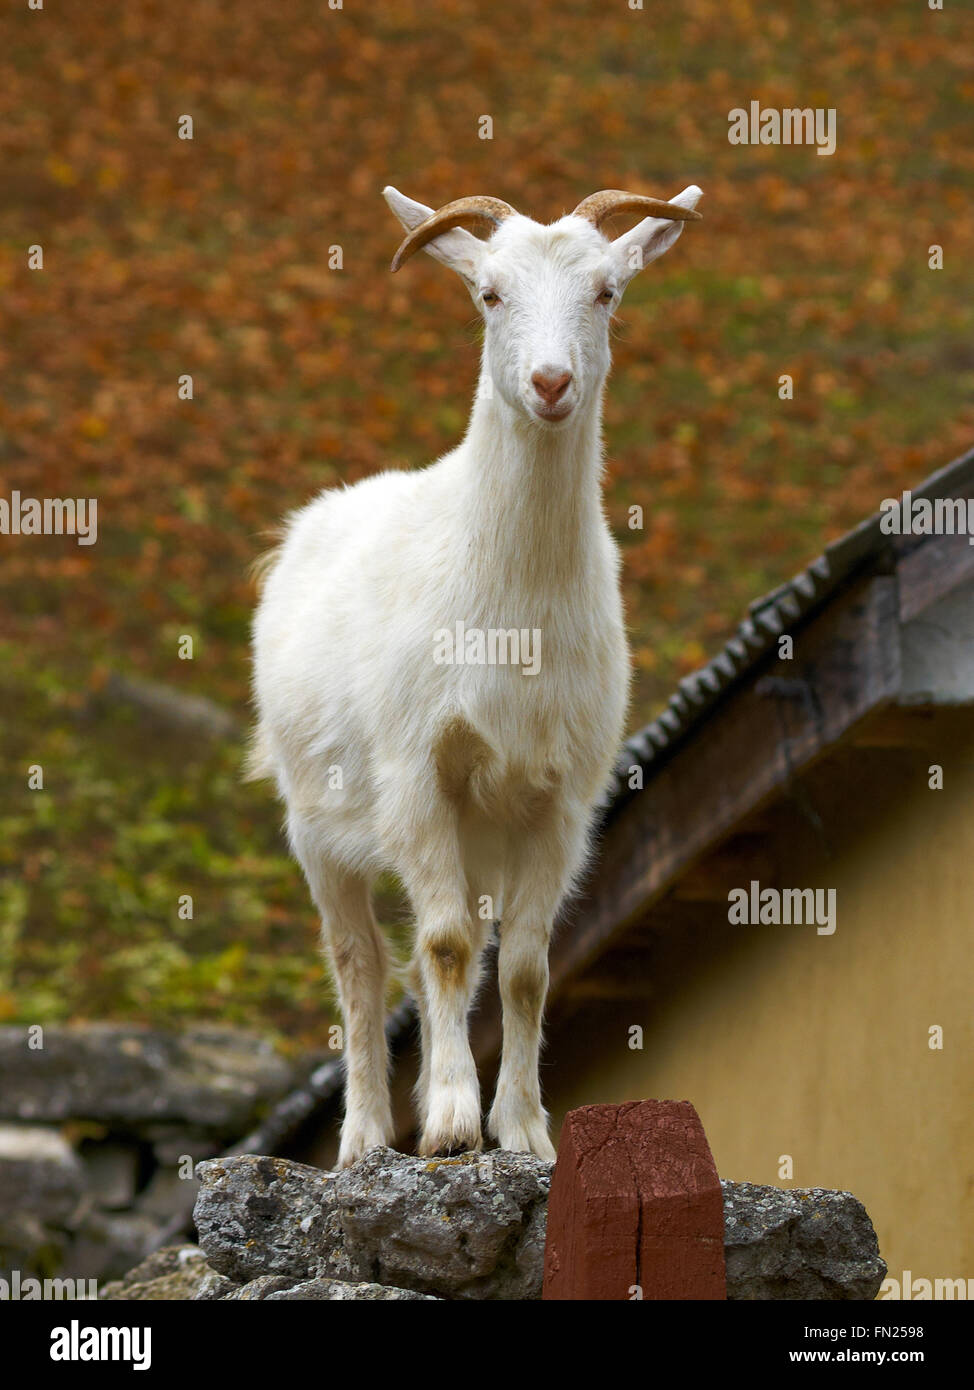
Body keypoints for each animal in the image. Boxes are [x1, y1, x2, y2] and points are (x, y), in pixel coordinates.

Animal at [247, 184, 703, 1162]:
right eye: (490, 294)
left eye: (608, 290)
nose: (551, 383)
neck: (511, 616)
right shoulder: (418, 772)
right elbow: (449, 946)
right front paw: (454, 1127)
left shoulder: (562, 797)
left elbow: (525, 966)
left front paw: (524, 1129)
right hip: (318, 824)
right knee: (364, 964)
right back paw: (366, 1137)